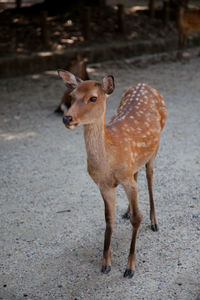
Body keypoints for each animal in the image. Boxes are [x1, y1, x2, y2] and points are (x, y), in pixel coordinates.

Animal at [58, 71, 167, 278]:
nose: (67, 119)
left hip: (155, 148)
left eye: (93, 98)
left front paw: (130, 267)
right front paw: (105, 264)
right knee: (138, 174)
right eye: (72, 97)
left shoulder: (125, 178)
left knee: (150, 176)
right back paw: (127, 211)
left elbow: (137, 218)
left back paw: (155, 222)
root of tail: (145, 84)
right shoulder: (104, 184)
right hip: (134, 164)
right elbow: (109, 218)